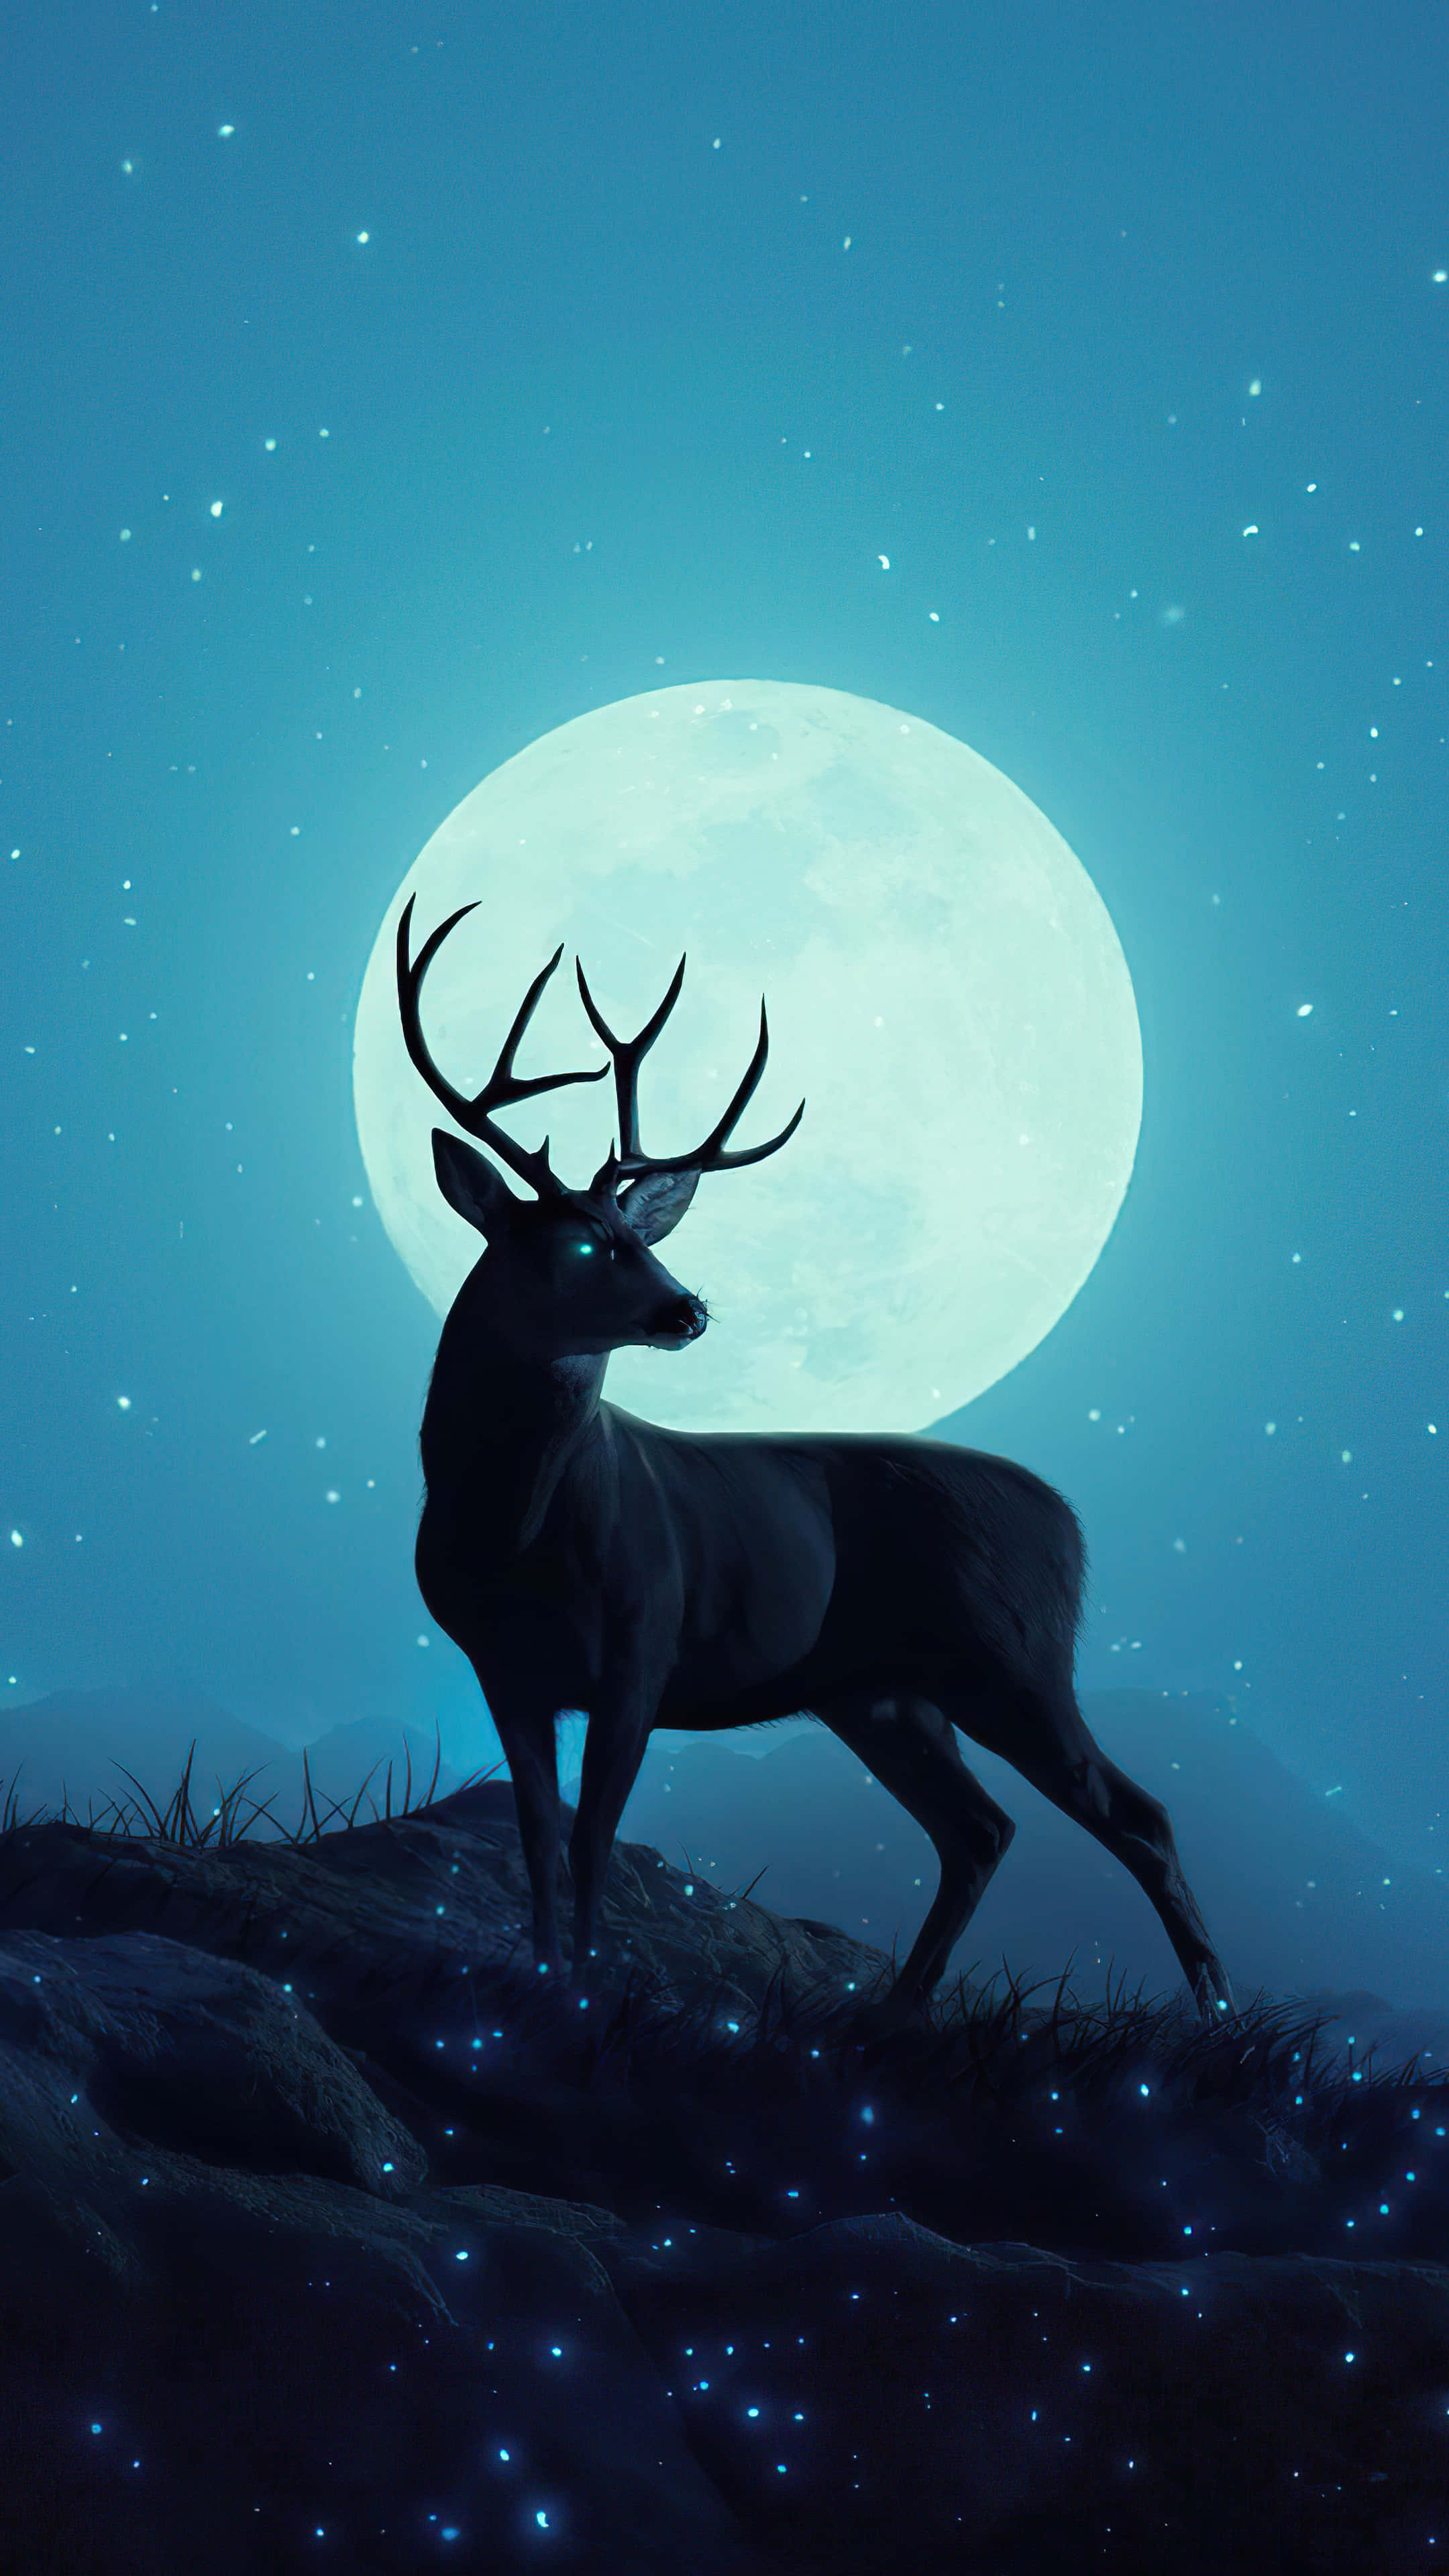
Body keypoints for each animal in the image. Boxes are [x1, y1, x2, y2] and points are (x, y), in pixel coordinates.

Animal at [398, 894, 1238, 2036]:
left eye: (638, 1235)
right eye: (574, 1245)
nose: (688, 1308)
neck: (514, 1527)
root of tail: (1071, 1521)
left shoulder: (643, 1642)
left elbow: (590, 1838)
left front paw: (586, 1992)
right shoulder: (504, 1668)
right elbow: (537, 1841)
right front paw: (541, 1982)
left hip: (1011, 1657)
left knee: (1133, 1812)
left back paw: (1221, 2016)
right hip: (881, 1694)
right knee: (980, 1828)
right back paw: (895, 2012)